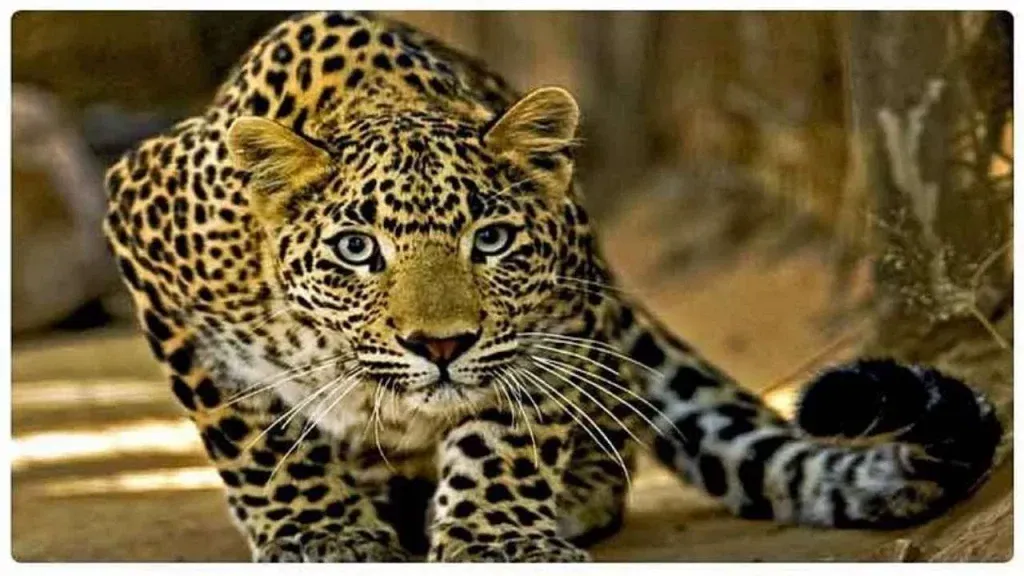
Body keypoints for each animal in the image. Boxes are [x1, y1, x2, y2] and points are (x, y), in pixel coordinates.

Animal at [103, 11, 1003, 562]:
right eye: (357, 250)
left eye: (492, 240)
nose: (440, 346)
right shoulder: (142, 227)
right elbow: (252, 432)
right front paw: (320, 533)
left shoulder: (556, 315)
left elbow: (509, 430)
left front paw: (496, 538)